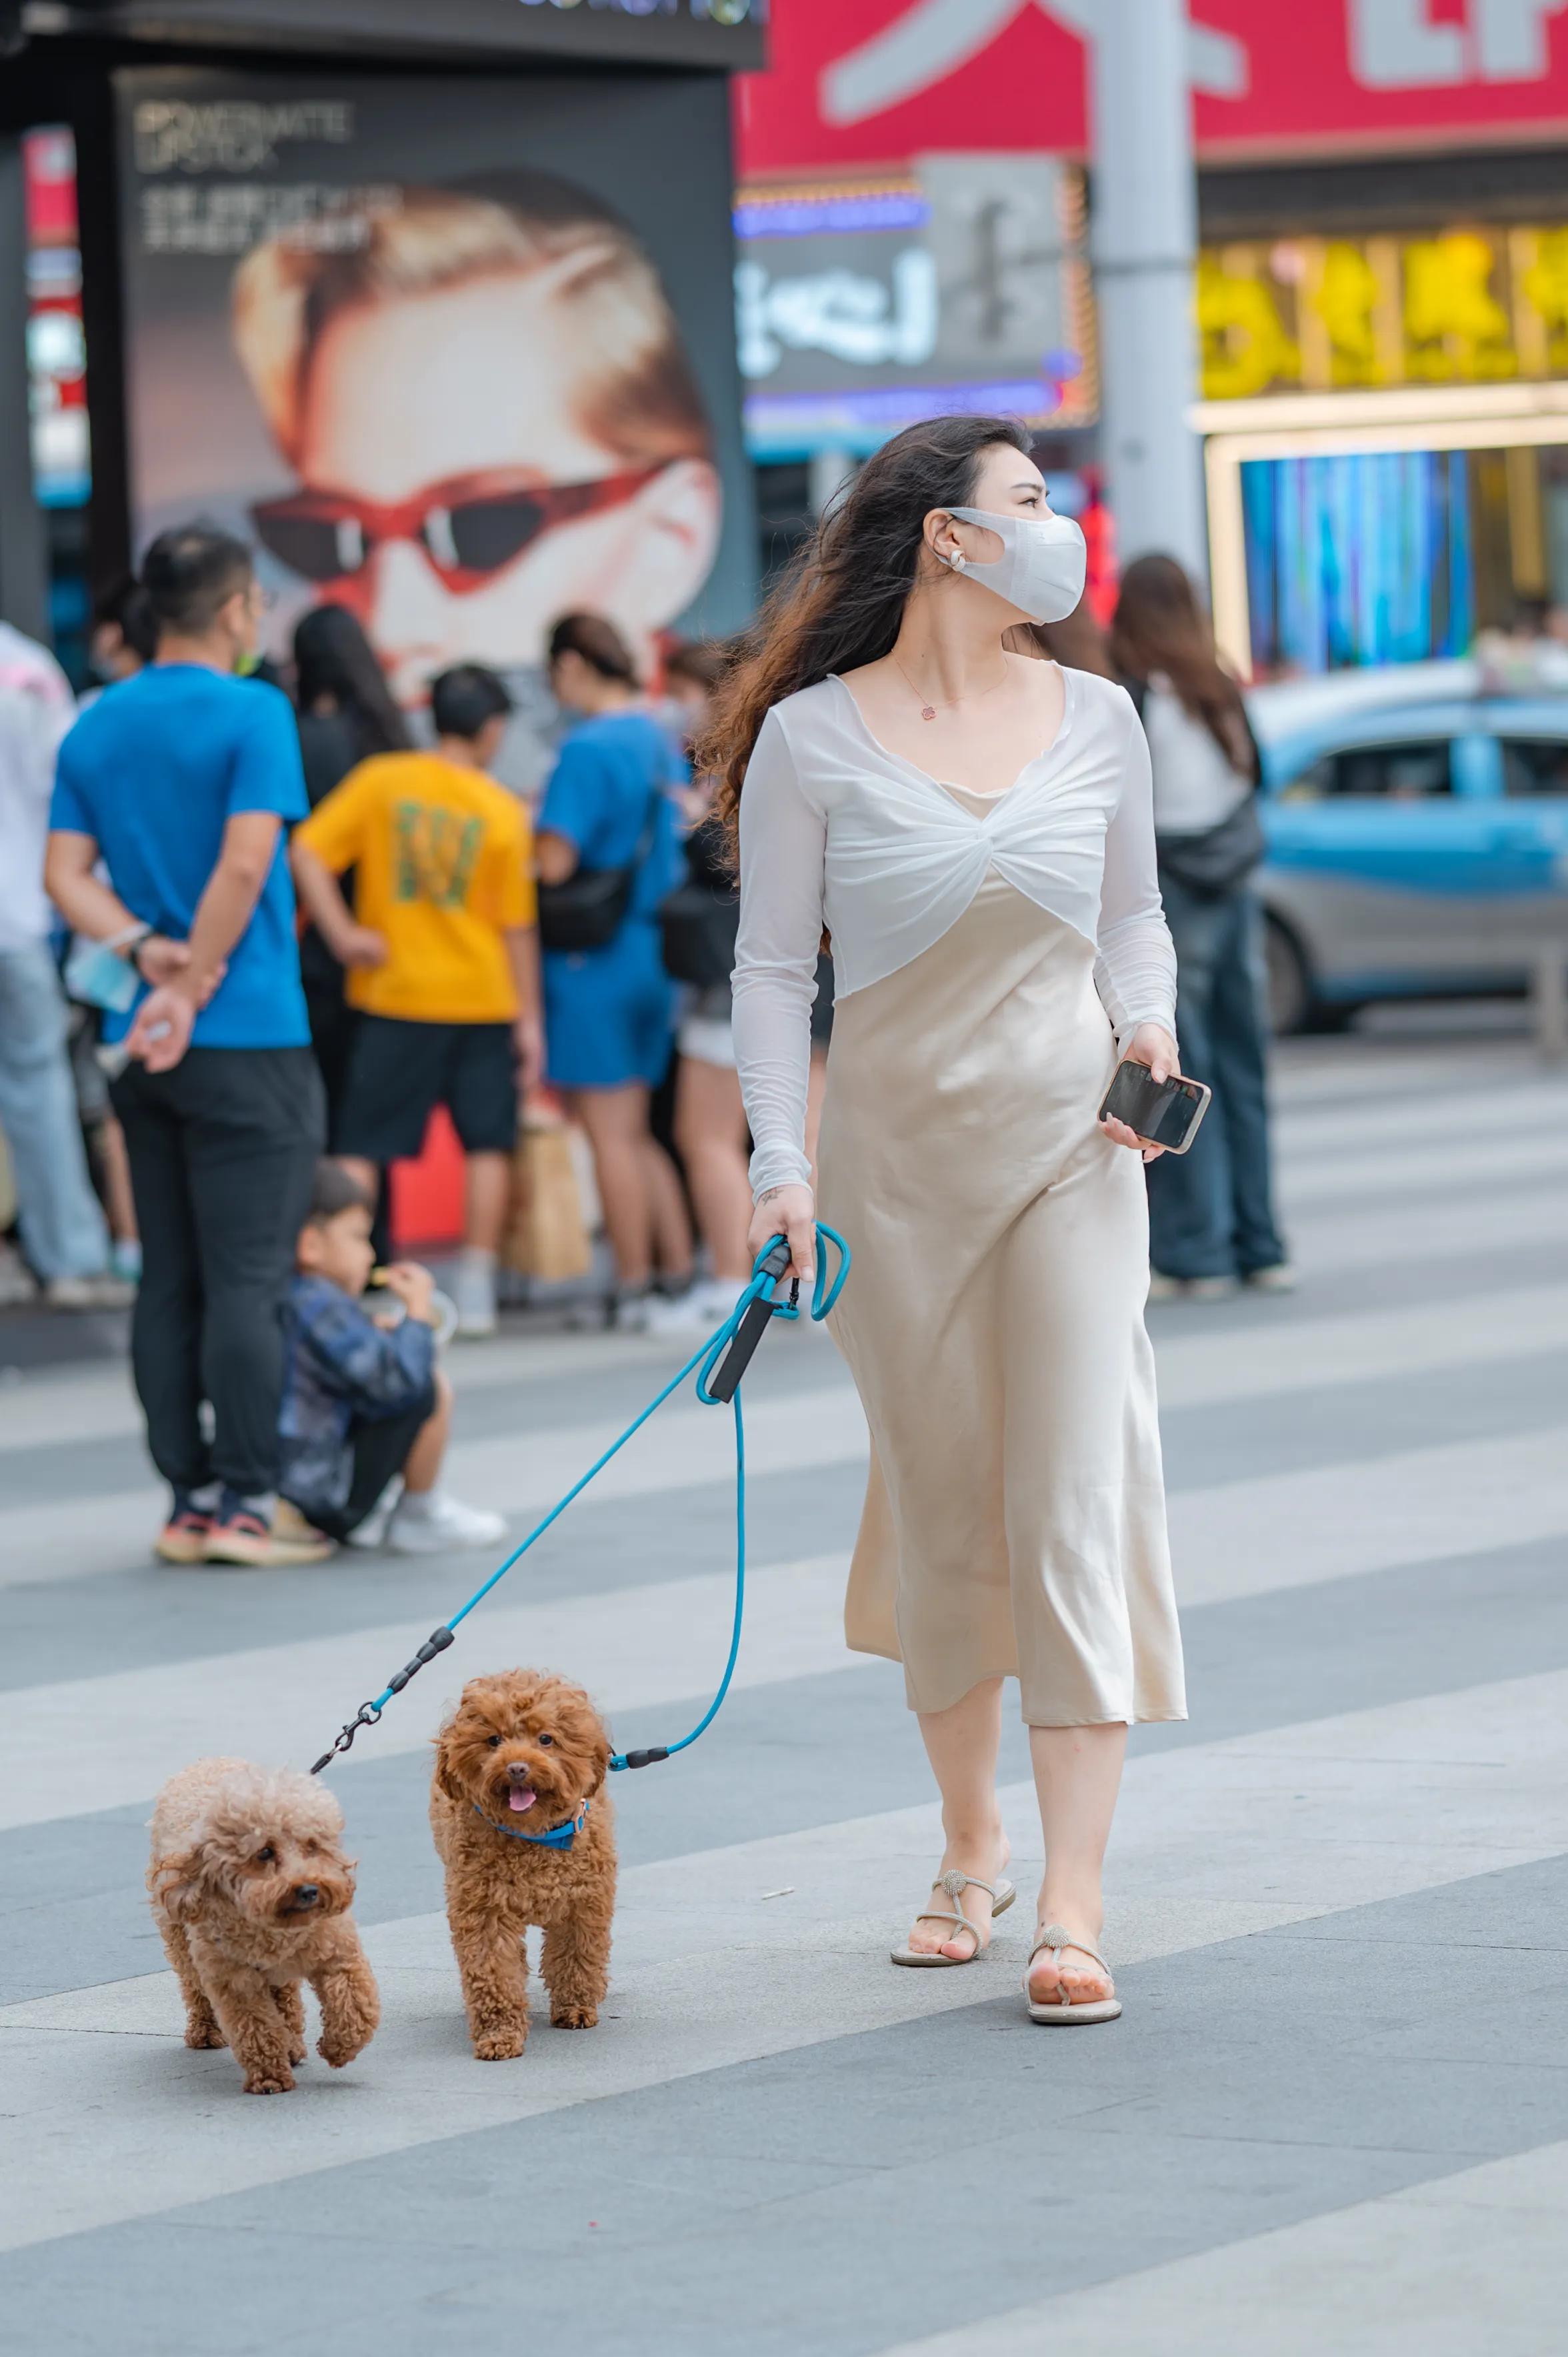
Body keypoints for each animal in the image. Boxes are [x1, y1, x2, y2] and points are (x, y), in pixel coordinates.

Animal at [147, 1754, 381, 2102]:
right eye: (265, 1852)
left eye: (312, 1846)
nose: (309, 1890)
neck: (275, 1930)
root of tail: (210, 1760)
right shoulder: (235, 1981)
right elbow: (256, 2028)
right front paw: (270, 2077)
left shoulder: (338, 1955)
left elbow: (355, 2007)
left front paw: (338, 2048)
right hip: (180, 1940)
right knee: (194, 1988)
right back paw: (206, 2031)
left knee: (286, 1997)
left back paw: (293, 2045)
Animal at [433, 1668, 622, 2055]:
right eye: (493, 1740)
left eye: (546, 1739)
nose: (517, 1768)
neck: (532, 1835)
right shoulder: (484, 1912)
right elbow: (494, 1973)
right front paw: (499, 2034)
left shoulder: (583, 1903)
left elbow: (576, 1957)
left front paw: (575, 2007)